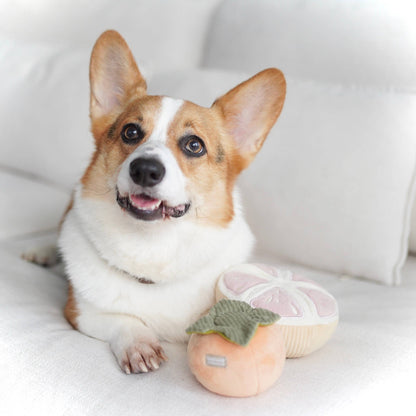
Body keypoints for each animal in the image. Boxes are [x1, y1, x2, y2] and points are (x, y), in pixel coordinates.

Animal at [48, 30, 286, 374]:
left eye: (194, 145)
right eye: (131, 132)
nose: (145, 169)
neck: (152, 246)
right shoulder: (81, 311)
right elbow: (124, 319)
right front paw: (139, 345)